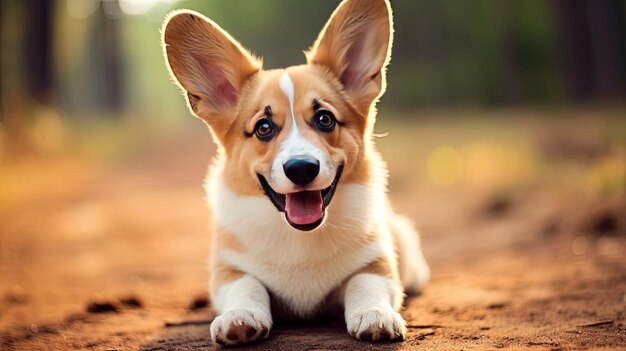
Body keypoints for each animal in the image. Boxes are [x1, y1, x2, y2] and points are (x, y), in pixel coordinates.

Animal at [160, 0, 428, 346]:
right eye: (263, 127)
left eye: (325, 119)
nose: (301, 168)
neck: (301, 238)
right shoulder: (229, 270)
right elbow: (247, 286)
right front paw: (239, 318)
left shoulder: (375, 262)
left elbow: (364, 283)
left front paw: (375, 316)